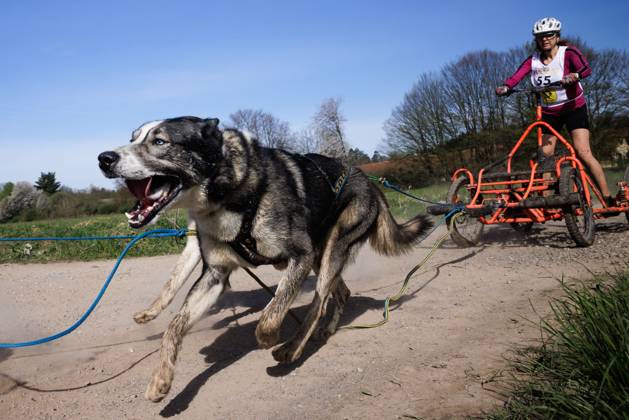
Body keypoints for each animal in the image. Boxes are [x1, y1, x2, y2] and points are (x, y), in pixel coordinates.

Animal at [98, 116, 432, 402]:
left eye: (160, 141)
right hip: (322, 255)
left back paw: (291, 348)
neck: (230, 193)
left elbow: (271, 314)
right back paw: (325, 330)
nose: (104, 158)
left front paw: (269, 337)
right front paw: (161, 379)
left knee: (318, 302)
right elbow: (174, 324)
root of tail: (369, 180)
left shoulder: (300, 255)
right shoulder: (214, 274)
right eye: (132, 138)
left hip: (329, 250)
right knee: (339, 293)